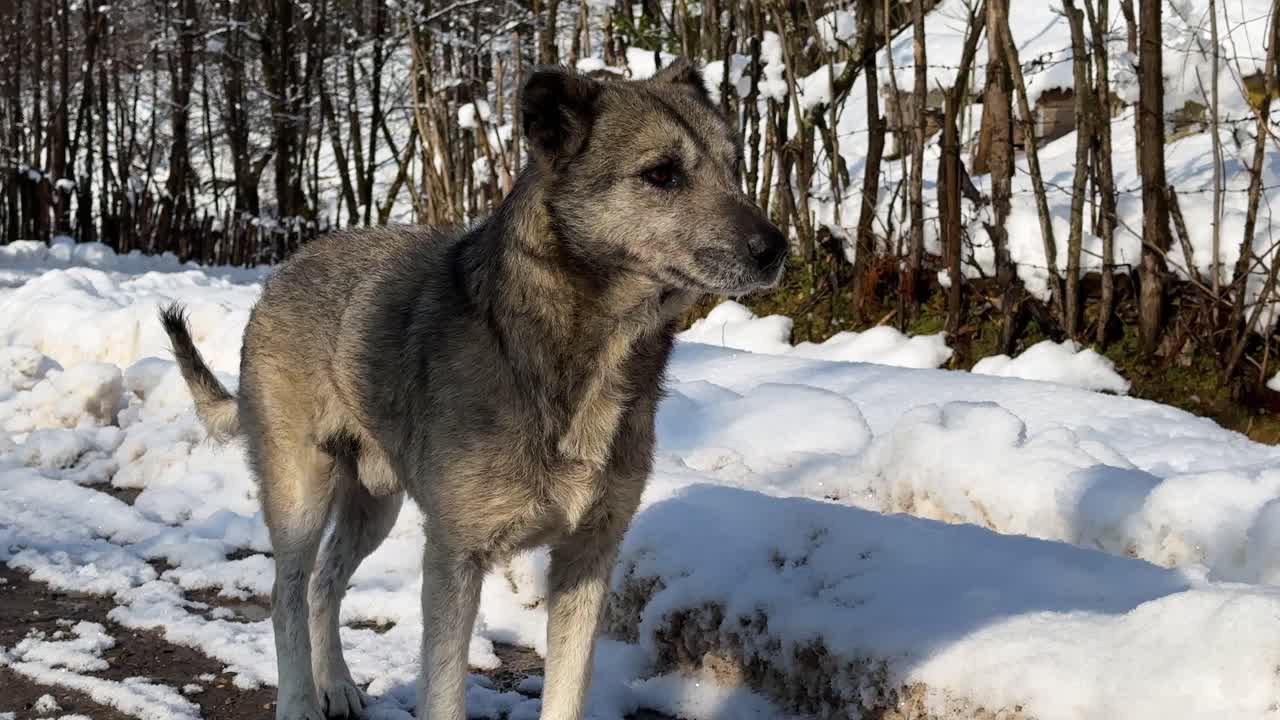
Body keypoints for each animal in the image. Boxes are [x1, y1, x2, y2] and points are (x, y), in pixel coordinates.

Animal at [160, 59, 786, 720]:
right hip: (301, 492)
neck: (578, 354)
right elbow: (443, 692)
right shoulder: (454, 558)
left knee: (324, 585)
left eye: (735, 165)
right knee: (287, 594)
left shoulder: (588, 558)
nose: (777, 248)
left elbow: (566, 692)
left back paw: (337, 684)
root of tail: (286, 267)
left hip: (374, 504)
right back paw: (302, 700)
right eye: (662, 173)